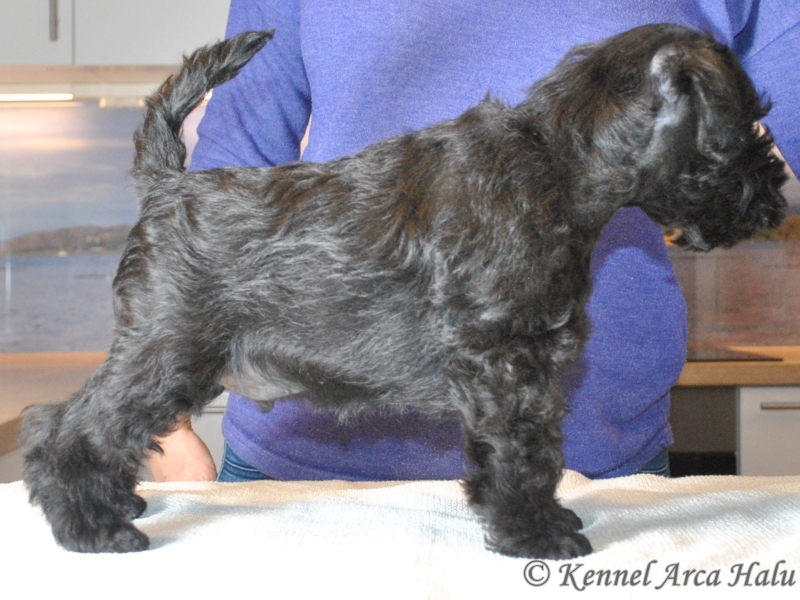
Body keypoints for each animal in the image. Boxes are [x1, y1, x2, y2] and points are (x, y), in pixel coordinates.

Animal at [20, 24, 787, 558]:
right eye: (746, 122)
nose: (777, 191)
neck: (558, 164)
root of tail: (167, 184)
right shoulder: (509, 362)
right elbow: (529, 452)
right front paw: (535, 536)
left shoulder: (504, 370)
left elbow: (499, 452)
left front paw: (509, 515)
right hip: (168, 349)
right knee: (70, 428)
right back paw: (91, 526)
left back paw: (113, 506)